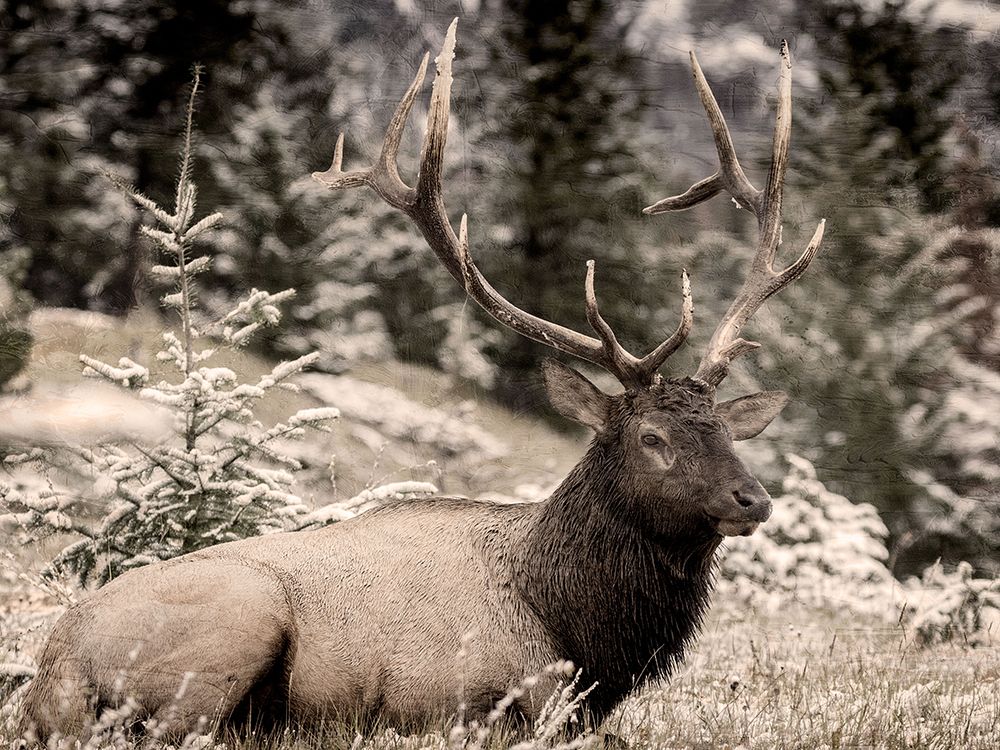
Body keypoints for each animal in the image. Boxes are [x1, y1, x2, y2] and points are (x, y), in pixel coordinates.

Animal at [20, 20, 824, 746]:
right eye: (651, 437)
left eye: (724, 430)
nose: (752, 498)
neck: (577, 630)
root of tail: (50, 674)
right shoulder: (459, 696)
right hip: (236, 619)